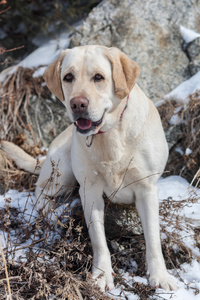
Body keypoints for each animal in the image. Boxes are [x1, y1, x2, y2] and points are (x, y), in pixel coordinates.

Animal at [1, 45, 177, 292]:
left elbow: (152, 236)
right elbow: (98, 239)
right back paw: (53, 214)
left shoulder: (147, 188)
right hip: (62, 170)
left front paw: (159, 276)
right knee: (41, 194)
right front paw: (101, 276)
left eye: (98, 77)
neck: (110, 134)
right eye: (68, 77)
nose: (77, 104)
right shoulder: (90, 189)